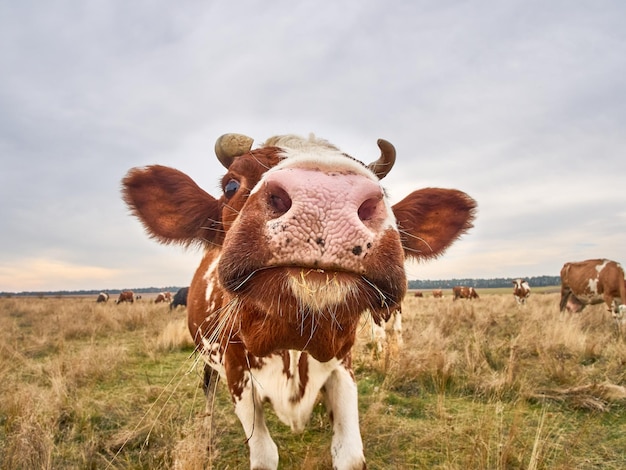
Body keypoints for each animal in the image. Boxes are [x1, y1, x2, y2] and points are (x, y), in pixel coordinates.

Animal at [120, 133, 472, 470]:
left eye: (385, 192)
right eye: (231, 185)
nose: (324, 196)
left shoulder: (343, 366)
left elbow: (350, 454)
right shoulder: (236, 374)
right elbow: (264, 455)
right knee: (207, 391)